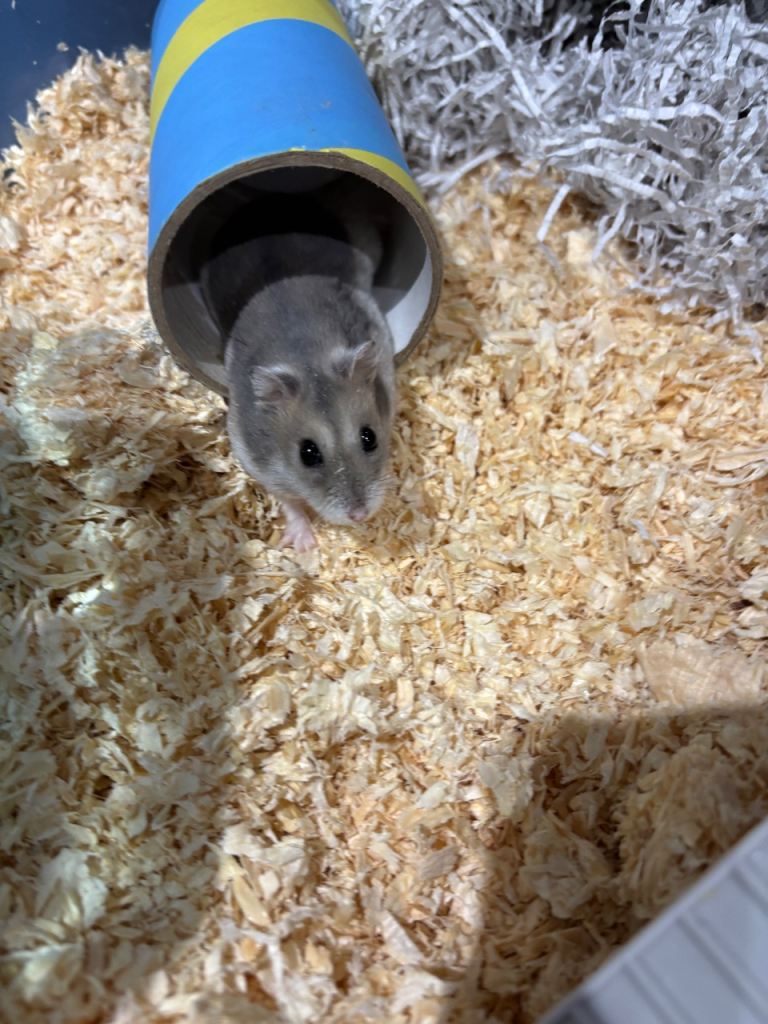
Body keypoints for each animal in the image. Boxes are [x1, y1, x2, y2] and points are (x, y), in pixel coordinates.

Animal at [202, 190, 396, 551]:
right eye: (307, 454)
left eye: (370, 437)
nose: (360, 516)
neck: (306, 360)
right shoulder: (258, 462)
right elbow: (289, 501)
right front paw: (304, 545)